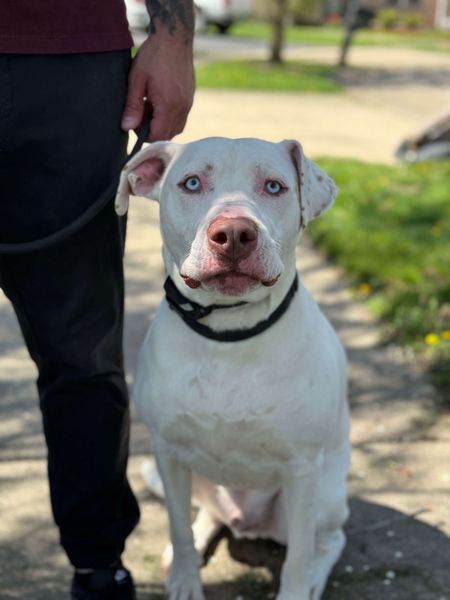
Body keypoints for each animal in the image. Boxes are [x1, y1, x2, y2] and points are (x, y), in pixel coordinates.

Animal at [115, 138, 348, 600]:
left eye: (274, 186)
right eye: (191, 183)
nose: (235, 234)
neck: (228, 334)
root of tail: (248, 523)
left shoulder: (302, 469)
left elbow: (297, 560)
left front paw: (298, 588)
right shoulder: (168, 452)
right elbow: (177, 524)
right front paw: (185, 578)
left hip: (324, 497)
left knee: (327, 541)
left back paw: (316, 576)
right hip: (201, 479)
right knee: (207, 516)